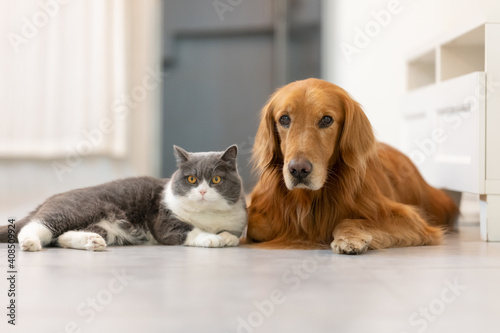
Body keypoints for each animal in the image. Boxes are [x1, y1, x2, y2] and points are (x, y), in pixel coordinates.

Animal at [0, 144, 247, 250]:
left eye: (216, 179)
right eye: (192, 179)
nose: (203, 191)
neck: (208, 216)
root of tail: (47, 200)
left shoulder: (237, 221)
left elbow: (232, 234)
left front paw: (226, 237)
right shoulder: (163, 219)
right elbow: (188, 230)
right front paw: (212, 238)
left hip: (106, 229)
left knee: (61, 237)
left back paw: (92, 241)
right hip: (77, 209)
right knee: (36, 226)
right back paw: (30, 242)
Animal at [246, 78, 458, 254]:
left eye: (326, 119)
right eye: (284, 119)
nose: (298, 170)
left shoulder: (409, 219)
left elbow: (346, 220)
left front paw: (349, 239)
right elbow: (256, 222)